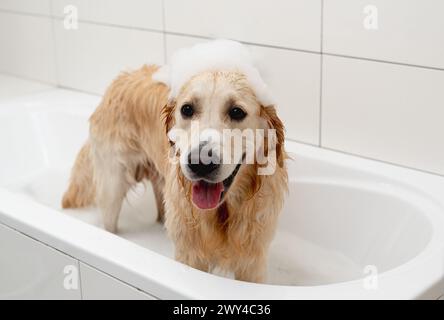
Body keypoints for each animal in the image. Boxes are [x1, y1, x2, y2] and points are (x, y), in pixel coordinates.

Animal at [62, 40, 290, 282]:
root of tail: (122, 77)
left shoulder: (252, 262)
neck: (223, 211)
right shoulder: (190, 254)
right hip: (111, 186)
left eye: (237, 111)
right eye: (187, 109)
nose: (200, 163)